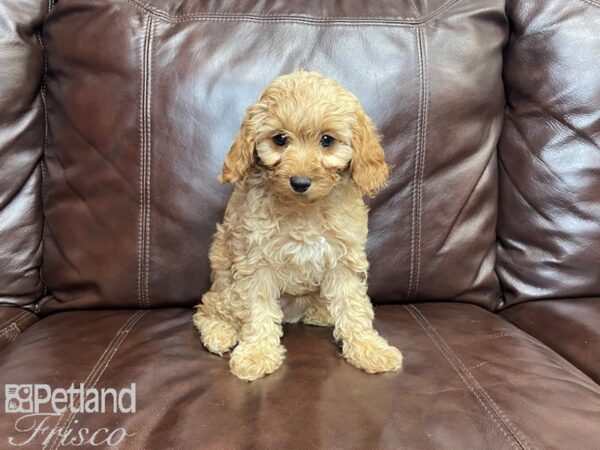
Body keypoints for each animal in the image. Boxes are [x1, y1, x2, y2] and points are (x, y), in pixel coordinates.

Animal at [195, 70, 404, 380]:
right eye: (280, 139)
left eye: (327, 140)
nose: (300, 182)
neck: (304, 209)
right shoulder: (256, 261)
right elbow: (257, 311)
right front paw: (257, 354)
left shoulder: (343, 259)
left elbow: (353, 306)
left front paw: (368, 349)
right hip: (224, 282)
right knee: (208, 307)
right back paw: (219, 332)